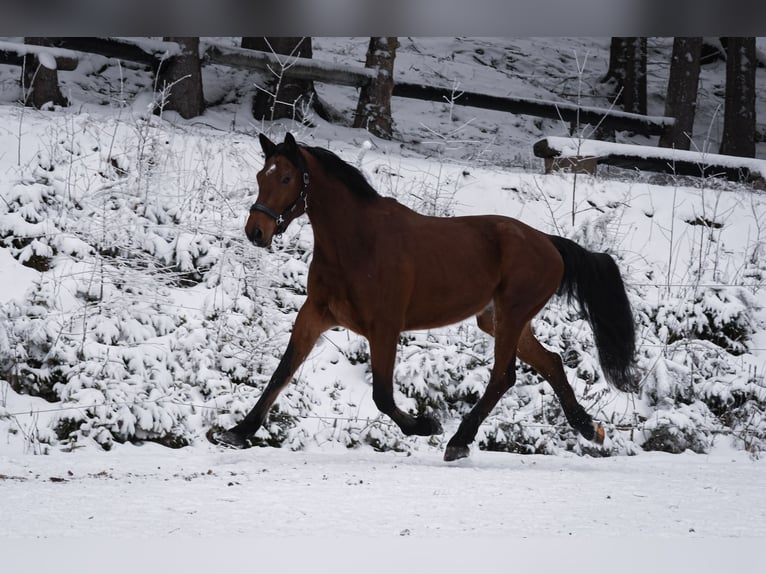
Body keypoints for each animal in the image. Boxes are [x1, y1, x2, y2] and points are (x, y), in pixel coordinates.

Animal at [209, 132, 638, 461]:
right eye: (260, 175)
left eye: (285, 178)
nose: (256, 231)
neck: (356, 243)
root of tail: (549, 243)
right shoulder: (314, 315)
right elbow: (282, 371)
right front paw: (238, 431)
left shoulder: (384, 327)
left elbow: (382, 395)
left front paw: (424, 424)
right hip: (498, 319)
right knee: (551, 363)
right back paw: (589, 429)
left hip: (512, 314)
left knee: (504, 376)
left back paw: (459, 441)